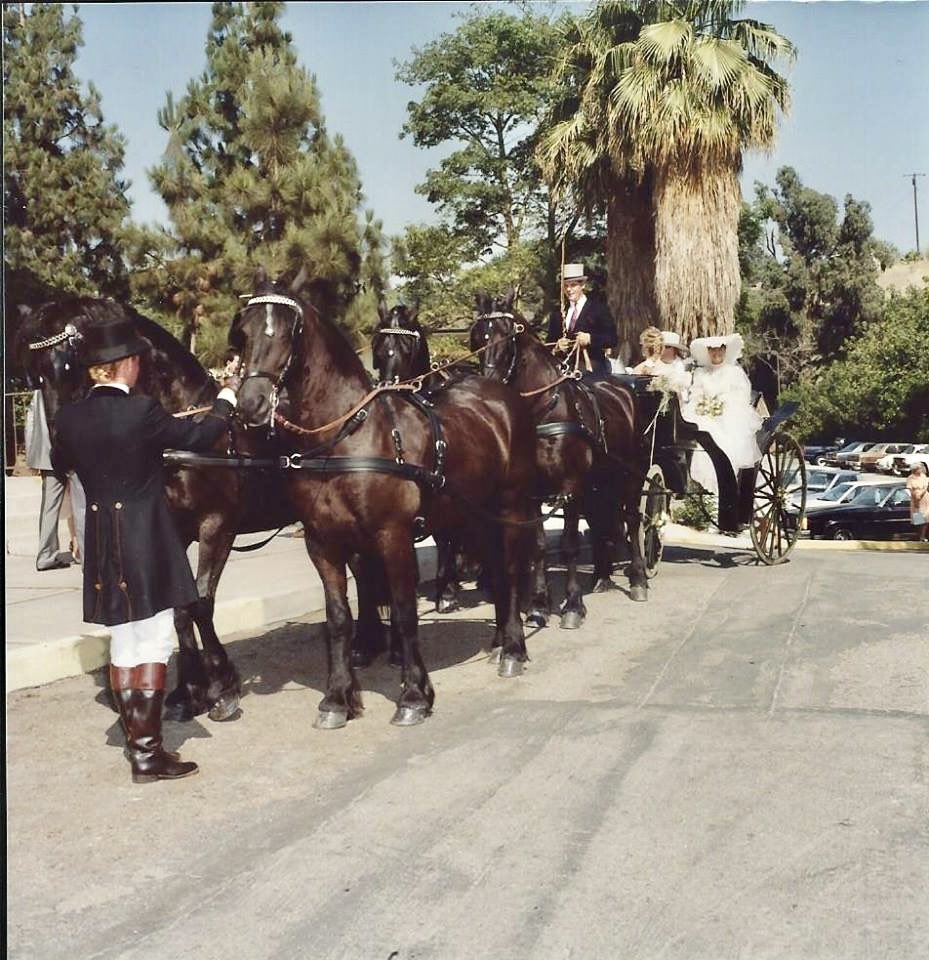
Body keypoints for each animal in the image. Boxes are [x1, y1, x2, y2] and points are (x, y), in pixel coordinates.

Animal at [232, 270, 536, 728]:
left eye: (289, 331)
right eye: (245, 330)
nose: (251, 404)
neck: (345, 439)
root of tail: (498, 394)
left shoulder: (392, 537)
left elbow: (405, 612)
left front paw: (414, 694)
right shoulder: (323, 544)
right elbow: (338, 619)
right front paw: (338, 697)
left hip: (512, 505)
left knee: (514, 570)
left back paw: (515, 647)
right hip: (473, 515)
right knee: (497, 570)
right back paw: (501, 638)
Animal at [472, 288, 644, 628]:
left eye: (507, 337)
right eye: (477, 338)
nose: (488, 389)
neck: (542, 411)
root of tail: (623, 389)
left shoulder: (570, 487)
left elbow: (569, 545)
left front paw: (573, 605)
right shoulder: (532, 492)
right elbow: (538, 547)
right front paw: (539, 605)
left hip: (630, 474)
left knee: (632, 519)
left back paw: (638, 579)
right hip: (601, 481)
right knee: (605, 521)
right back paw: (603, 576)